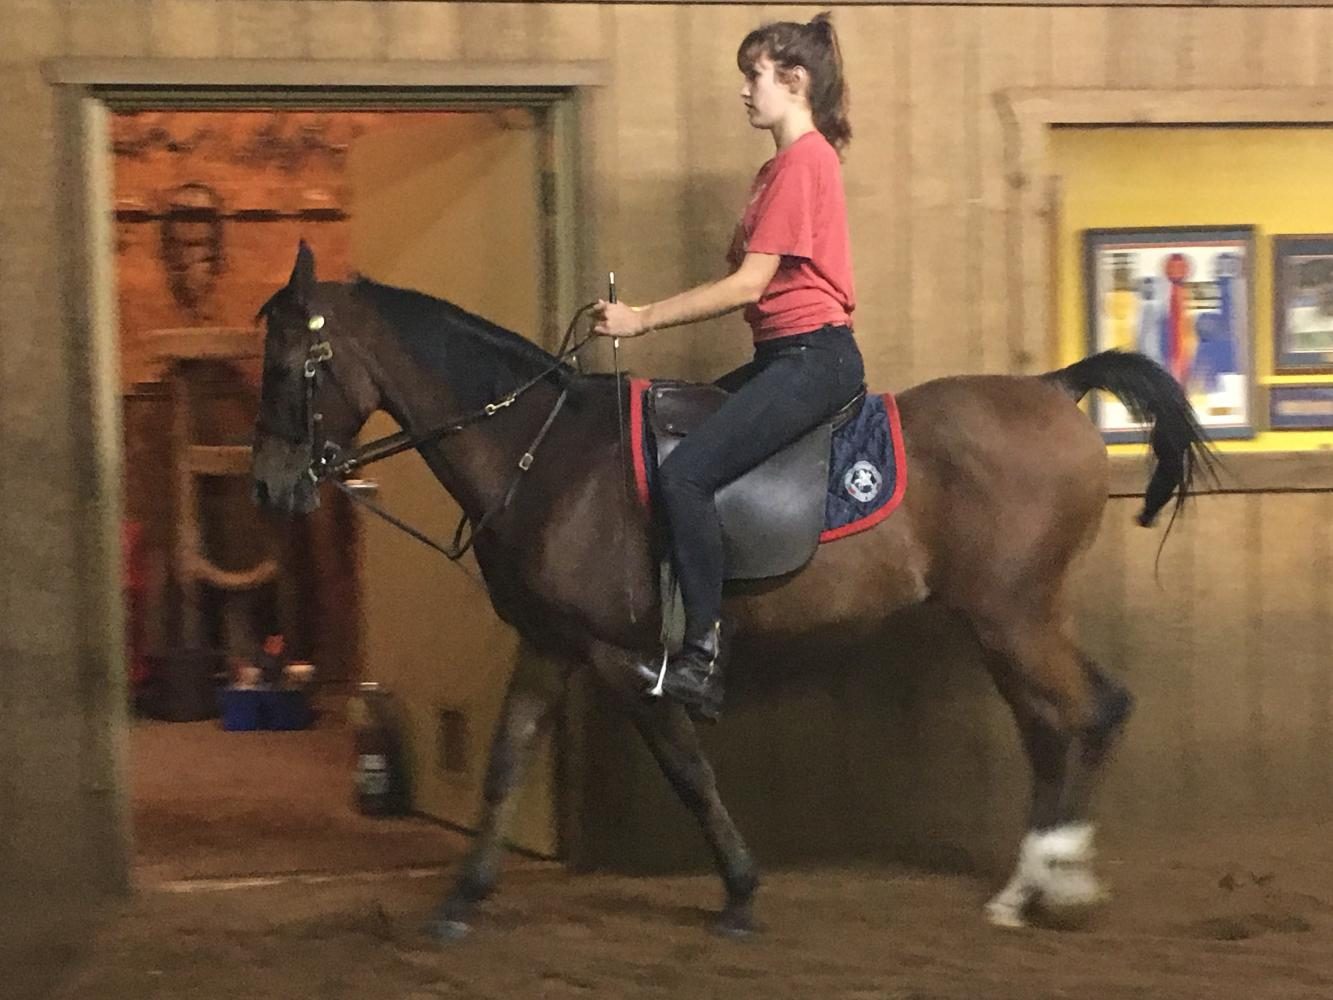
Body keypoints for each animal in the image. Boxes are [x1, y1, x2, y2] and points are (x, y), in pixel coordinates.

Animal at [251, 242, 1221, 938]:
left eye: (289, 366)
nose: (269, 487)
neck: (545, 452)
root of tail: (1054, 389)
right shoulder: (552, 643)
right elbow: (503, 762)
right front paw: (461, 898)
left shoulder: (624, 657)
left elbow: (688, 772)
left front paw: (743, 894)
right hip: (1003, 620)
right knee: (1054, 726)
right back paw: (1026, 887)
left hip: (1013, 614)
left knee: (1089, 712)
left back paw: (1056, 882)